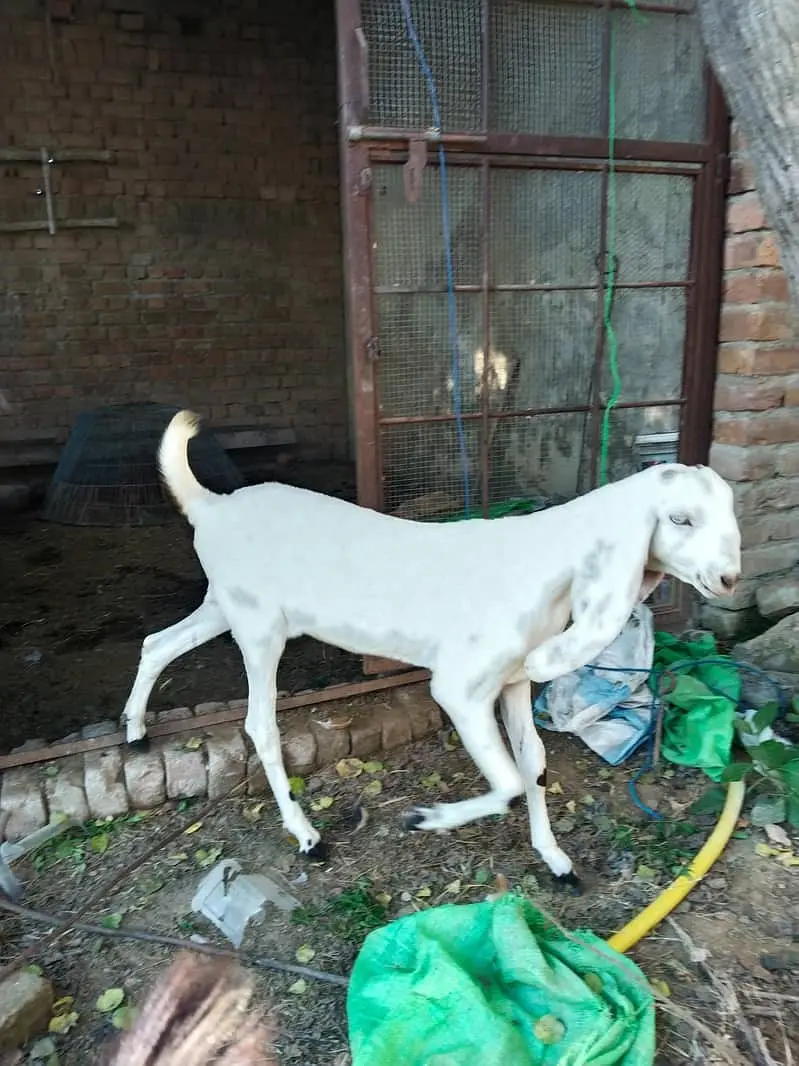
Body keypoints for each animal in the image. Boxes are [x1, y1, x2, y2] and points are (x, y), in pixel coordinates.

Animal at [123, 410, 740, 890]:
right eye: (679, 518)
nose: (729, 579)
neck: (547, 561)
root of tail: (210, 506)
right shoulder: (462, 689)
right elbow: (509, 782)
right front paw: (424, 818)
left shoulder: (514, 680)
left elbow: (534, 764)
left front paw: (557, 862)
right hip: (258, 628)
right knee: (259, 724)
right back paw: (307, 837)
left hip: (224, 604)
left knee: (157, 643)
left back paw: (134, 731)